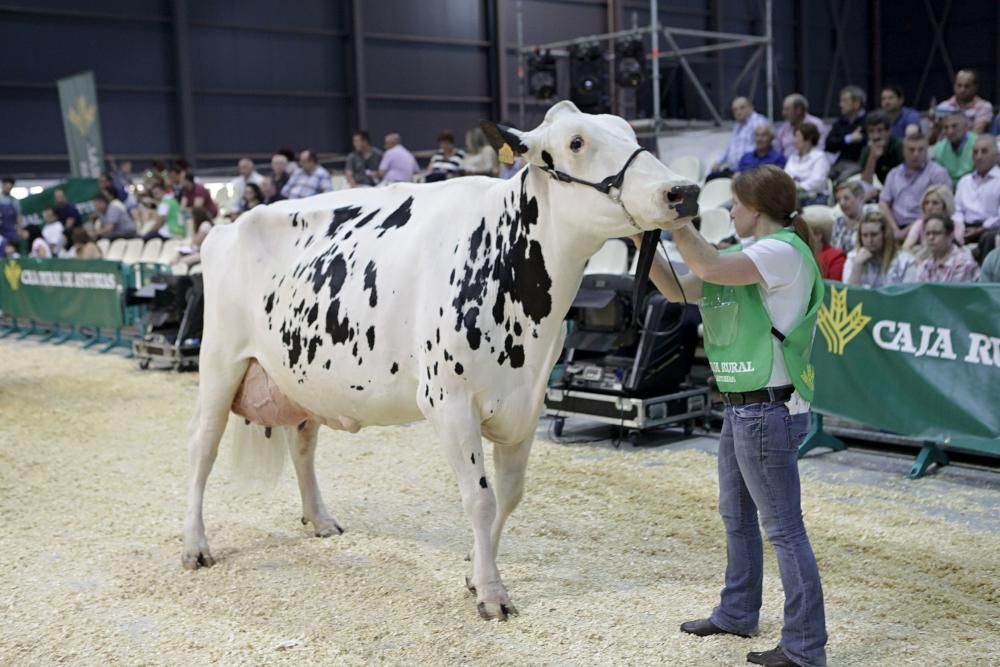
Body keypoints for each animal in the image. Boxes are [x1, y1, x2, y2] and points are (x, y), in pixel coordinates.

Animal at [184, 100, 696, 620]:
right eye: (576, 142)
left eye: (628, 130)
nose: (684, 191)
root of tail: (229, 224)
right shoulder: (447, 400)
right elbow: (480, 499)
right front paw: (491, 594)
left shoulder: (527, 405)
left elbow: (509, 496)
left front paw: (475, 575)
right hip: (219, 363)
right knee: (202, 450)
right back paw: (195, 547)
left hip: (303, 375)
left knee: (302, 442)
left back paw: (320, 519)